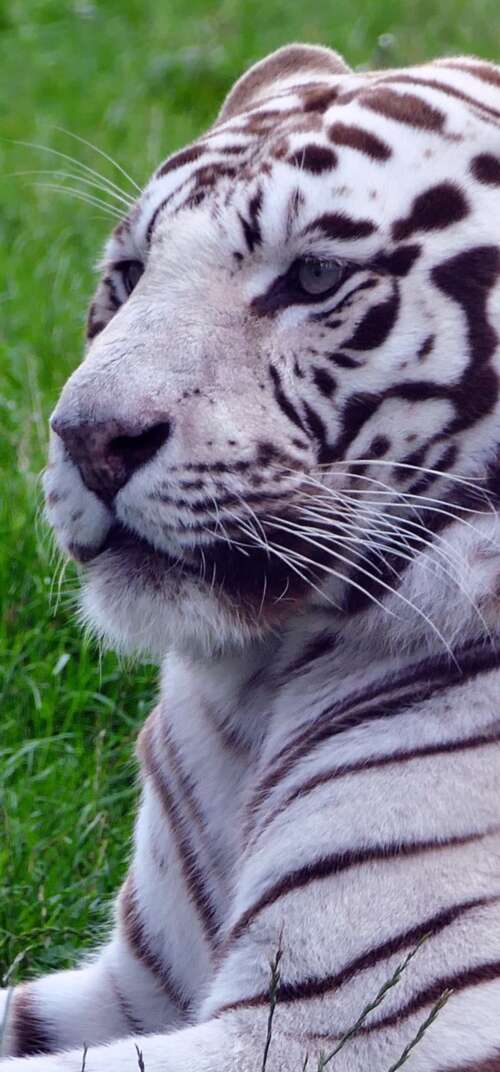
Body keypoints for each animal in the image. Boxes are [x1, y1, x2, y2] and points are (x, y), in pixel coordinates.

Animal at [3, 38, 500, 1072]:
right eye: (129, 273)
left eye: (313, 278)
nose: (89, 439)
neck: (259, 690)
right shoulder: (135, 986)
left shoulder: (349, 1023)